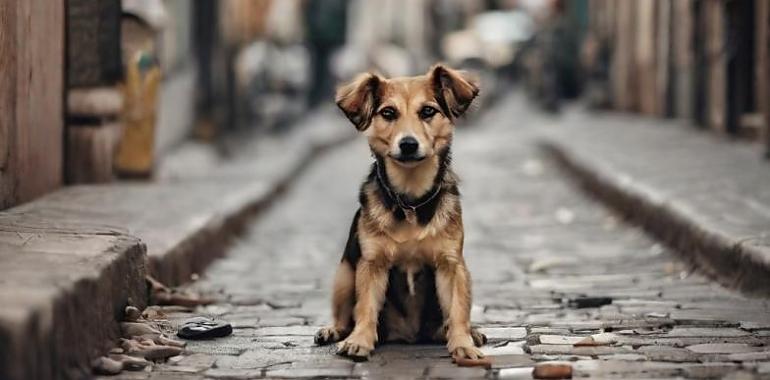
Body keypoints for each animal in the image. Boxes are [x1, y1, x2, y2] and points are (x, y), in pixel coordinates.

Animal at [314, 63, 486, 360]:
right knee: (345, 316)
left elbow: (457, 310)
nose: (408, 144)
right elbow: (365, 306)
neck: (410, 200)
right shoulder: (371, 264)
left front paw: (463, 343)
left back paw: (469, 333)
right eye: (388, 113)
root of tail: (408, 336)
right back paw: (333, 331)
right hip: (344, 274)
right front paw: (359, 340)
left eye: (427, 111)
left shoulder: (451, 264)